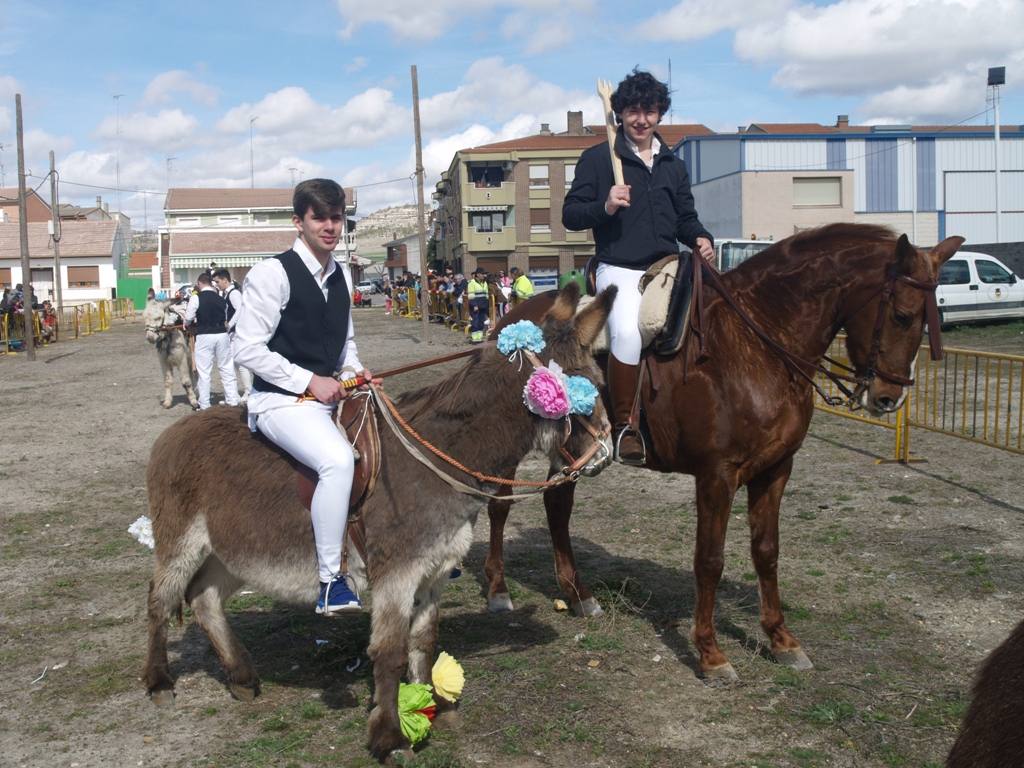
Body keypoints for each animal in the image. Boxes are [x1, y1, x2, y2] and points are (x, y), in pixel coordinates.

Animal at [483, 222, 962, 679]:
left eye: (926, 318)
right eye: (901, 315)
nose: (888, 399)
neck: (756, 345)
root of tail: (513, 320)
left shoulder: (776, 468)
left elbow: (766, 551)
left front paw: (781, 640)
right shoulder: (717, 475)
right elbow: (709, 559)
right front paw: (711, 654)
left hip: (572, 450)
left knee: (557, 504)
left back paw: (578, 594)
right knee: (499, 504)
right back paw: (498, 591)